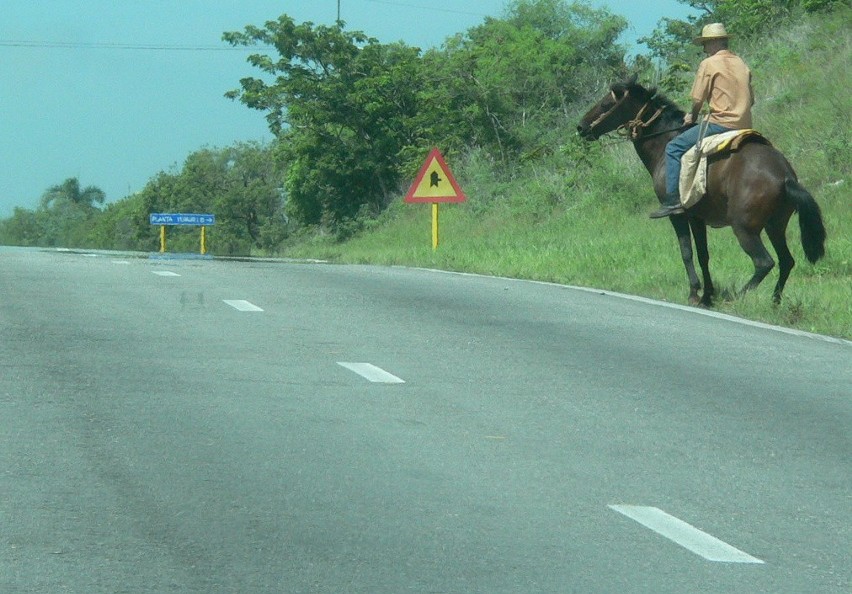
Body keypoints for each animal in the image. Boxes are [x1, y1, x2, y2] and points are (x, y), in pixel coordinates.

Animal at [576, 76, 824, 306]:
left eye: (606, 104)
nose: (581, 127)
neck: (664, 140)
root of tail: (784, 175)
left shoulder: (678, 215)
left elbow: (686, 252)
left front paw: (695, 294)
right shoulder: (697, 217)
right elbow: (704, 255)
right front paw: (707, 295)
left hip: (744, 228)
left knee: (764, 263)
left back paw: (736, 297)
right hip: (774, 226)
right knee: (786, 261)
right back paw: (774, 302)